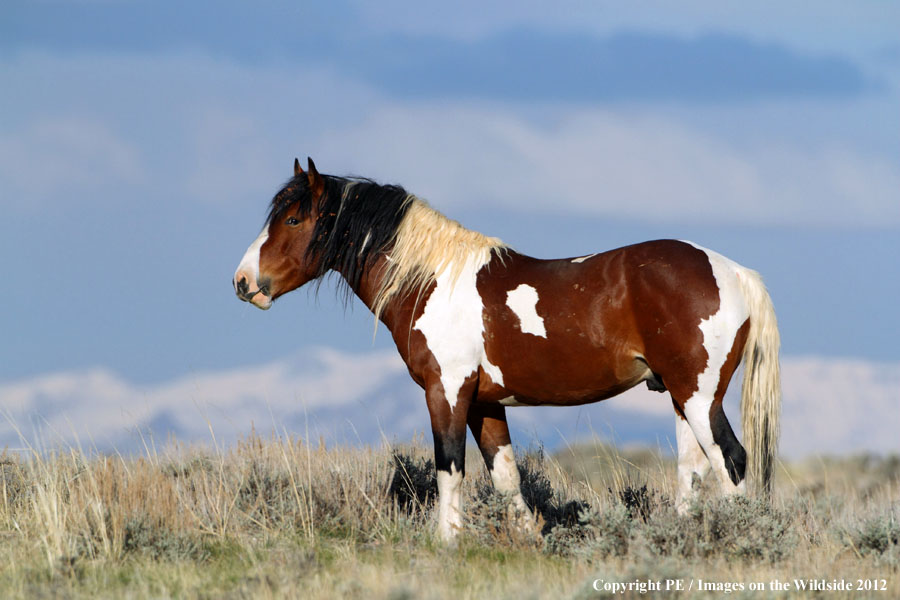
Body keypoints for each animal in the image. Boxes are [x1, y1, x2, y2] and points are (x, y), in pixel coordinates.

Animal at [232, 157, 780, 540]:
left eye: (295, 220)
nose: (243, 282)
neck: (433, 281)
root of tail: (734, 272)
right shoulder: (485, 403)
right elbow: (506, 477)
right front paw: (525, 539)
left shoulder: (447, 392)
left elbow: (449, 468)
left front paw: (447, 541)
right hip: (680, 396)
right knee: (694, 470)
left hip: (698, 396)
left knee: (731, 462)